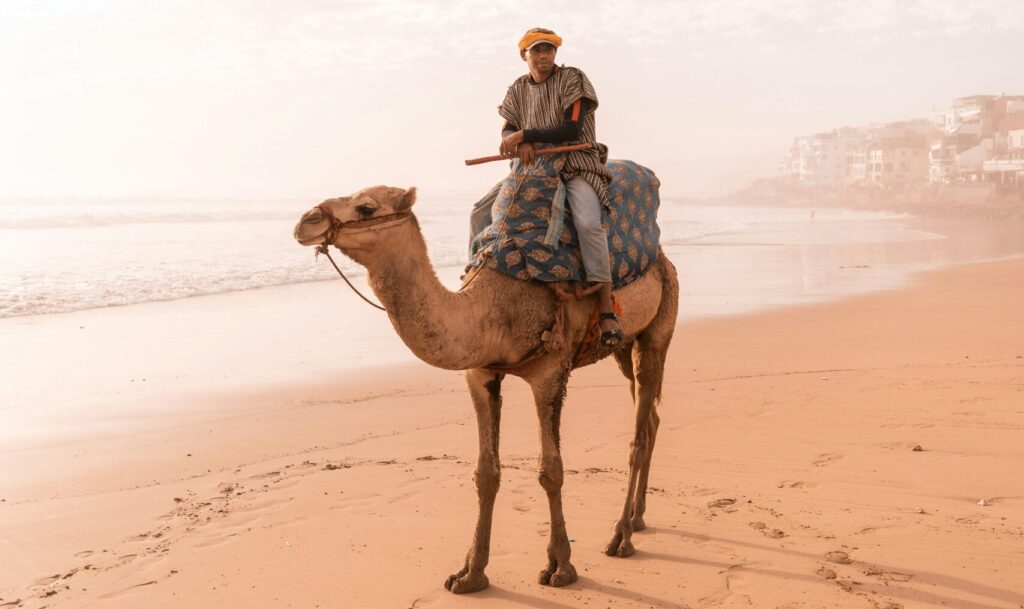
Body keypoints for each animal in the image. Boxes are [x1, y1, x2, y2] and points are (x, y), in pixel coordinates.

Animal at [292, 187, 675, 597]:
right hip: (622, 347)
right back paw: (638, 518)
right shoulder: (480, 374)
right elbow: (486, 473)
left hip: (658, 327)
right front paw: (470, 574)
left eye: (366, 207)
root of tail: (661, 258)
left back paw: (621, 537)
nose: (306, 222)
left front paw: (560, 567)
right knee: (650, 417)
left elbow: (551, 470)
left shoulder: (550, 374)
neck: (493, 309)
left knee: (638, 433)